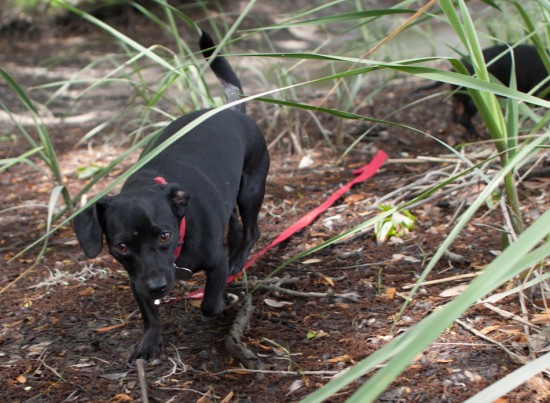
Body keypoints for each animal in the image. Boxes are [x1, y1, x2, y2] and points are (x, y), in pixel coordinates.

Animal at [73, 31, 272, 364]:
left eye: (165, 235)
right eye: (121, 246)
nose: (158, 287)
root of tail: (231, 110)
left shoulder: (214, 263)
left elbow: (208, 304)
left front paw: (222, 304)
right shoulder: (137, 278)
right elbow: (149, 315)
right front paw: (150, 342)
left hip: (251, 190)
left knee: (252, 230)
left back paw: (238, 259)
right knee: (236, 224)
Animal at [418, 45, 548, 135]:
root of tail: (454, 69)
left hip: (459, 96)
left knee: (455, 109)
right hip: (474, 101)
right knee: (463, 119)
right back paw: (477, 135)